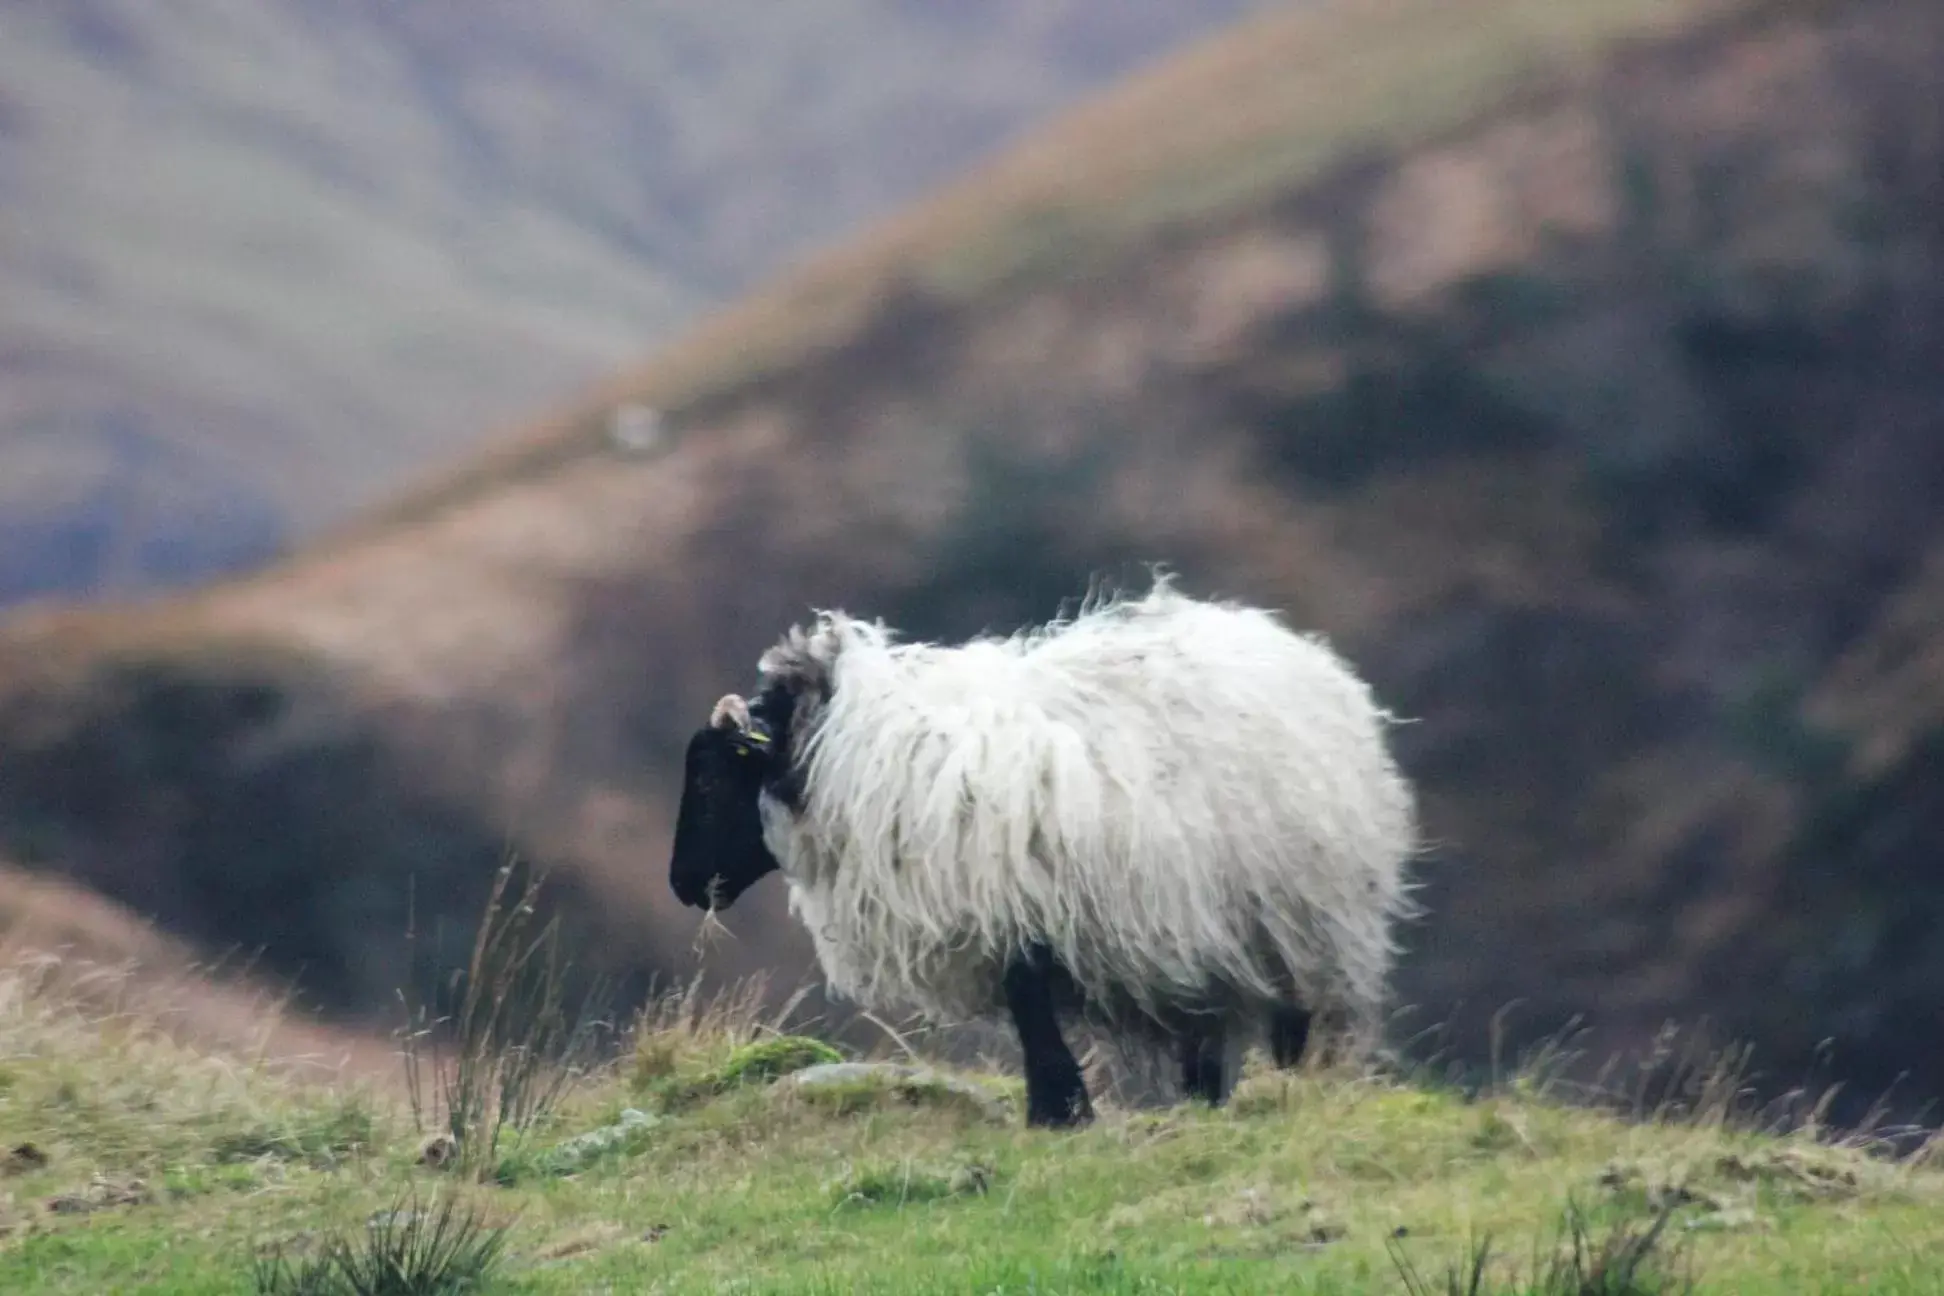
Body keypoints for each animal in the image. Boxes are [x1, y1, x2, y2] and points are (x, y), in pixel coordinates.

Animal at [672, 575, 1430, 1126]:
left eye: (709, 778)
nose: (682, 884)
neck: (844, 750)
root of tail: (1304, 654)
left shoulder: (1015, 906)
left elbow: (1029, 1005)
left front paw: (1058, 1112)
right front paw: (1063, 1108)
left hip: (1299, 909)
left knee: (1297, 1018)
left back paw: (1294, 1092)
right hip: (1204, 927)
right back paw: (1205, 1101)